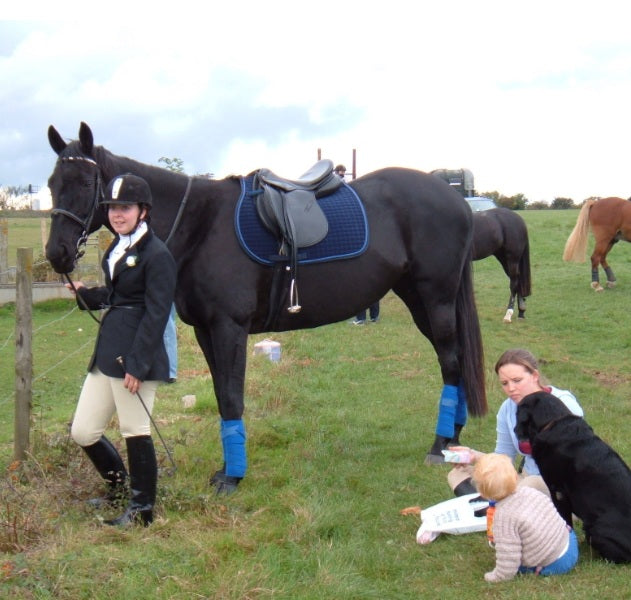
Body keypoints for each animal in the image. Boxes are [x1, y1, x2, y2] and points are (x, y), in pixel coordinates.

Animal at [45, 120, 488, 492]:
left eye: (85, 181)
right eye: (52, 183)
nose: (57, 253)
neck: (200, 224)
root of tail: (455, 199)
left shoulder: (229, 328)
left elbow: (232, 396)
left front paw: (233, 478)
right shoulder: (206, 330)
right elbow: (222, 395)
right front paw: (227, 469)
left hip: (436, 297)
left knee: (450, 361)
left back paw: (439, 445)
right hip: (420, 299)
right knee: (453, 359)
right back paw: (454, 438)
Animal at [516, 390, 631, 564]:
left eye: (517, 413)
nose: (515, 430)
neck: (552, 423)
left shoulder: (558, 491)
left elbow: (565, 521)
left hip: (595, 529)